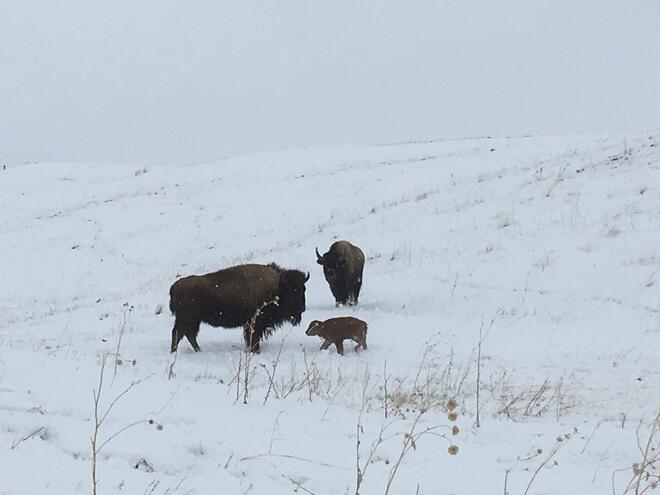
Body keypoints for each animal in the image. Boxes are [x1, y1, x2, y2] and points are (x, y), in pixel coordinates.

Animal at [169, 263, 309, 353]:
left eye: (303, 288)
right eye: (292, 290)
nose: (302, 308)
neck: (276, 288)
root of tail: (174, 287)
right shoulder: (254, 322)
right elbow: (253, 336)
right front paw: (255, 351)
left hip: (192, 320)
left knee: (188, 334)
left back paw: (196, 350)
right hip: (187, 319)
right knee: (179, 333)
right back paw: (176, 352)